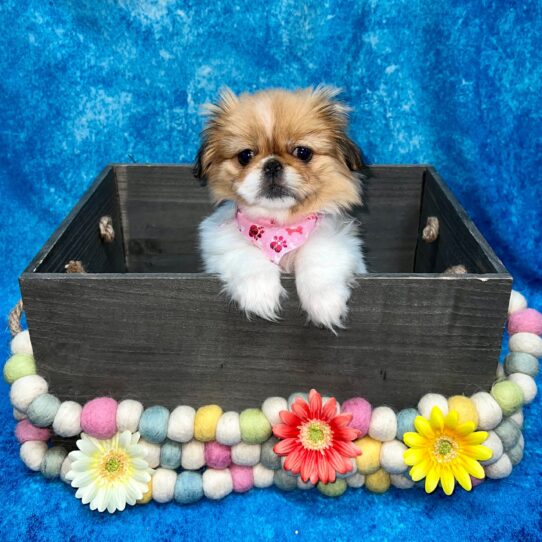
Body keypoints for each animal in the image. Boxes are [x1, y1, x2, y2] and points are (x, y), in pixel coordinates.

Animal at [196, 86, 370, 332]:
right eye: (245, 156)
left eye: (303, 152)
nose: (272, 164)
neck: (277, 226)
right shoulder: (220, 241)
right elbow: (245, 254)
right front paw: (259, 293)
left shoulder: (338, 240)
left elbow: (318, 254)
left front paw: (324, 302)